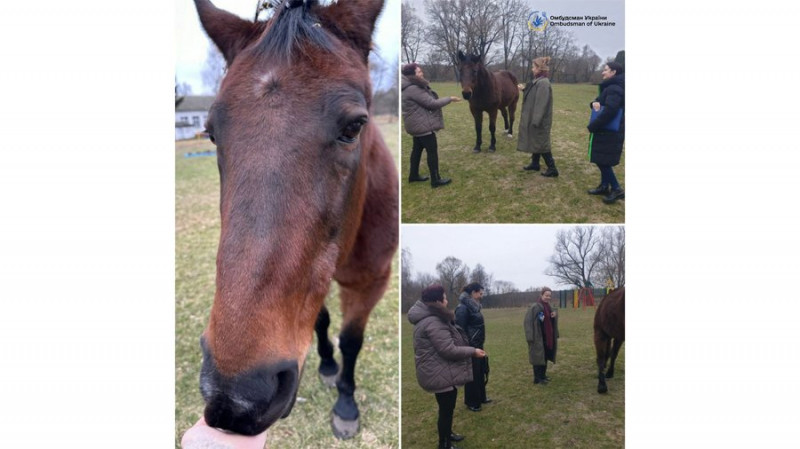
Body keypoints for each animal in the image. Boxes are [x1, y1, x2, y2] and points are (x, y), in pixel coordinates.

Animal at [195, 0, 400, 438]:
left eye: (354, 125)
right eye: (211, 133)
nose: (236, 397)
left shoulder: (373, 280)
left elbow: (351, 340)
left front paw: (345, 404)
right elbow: (320, 319)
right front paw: (325, 363)